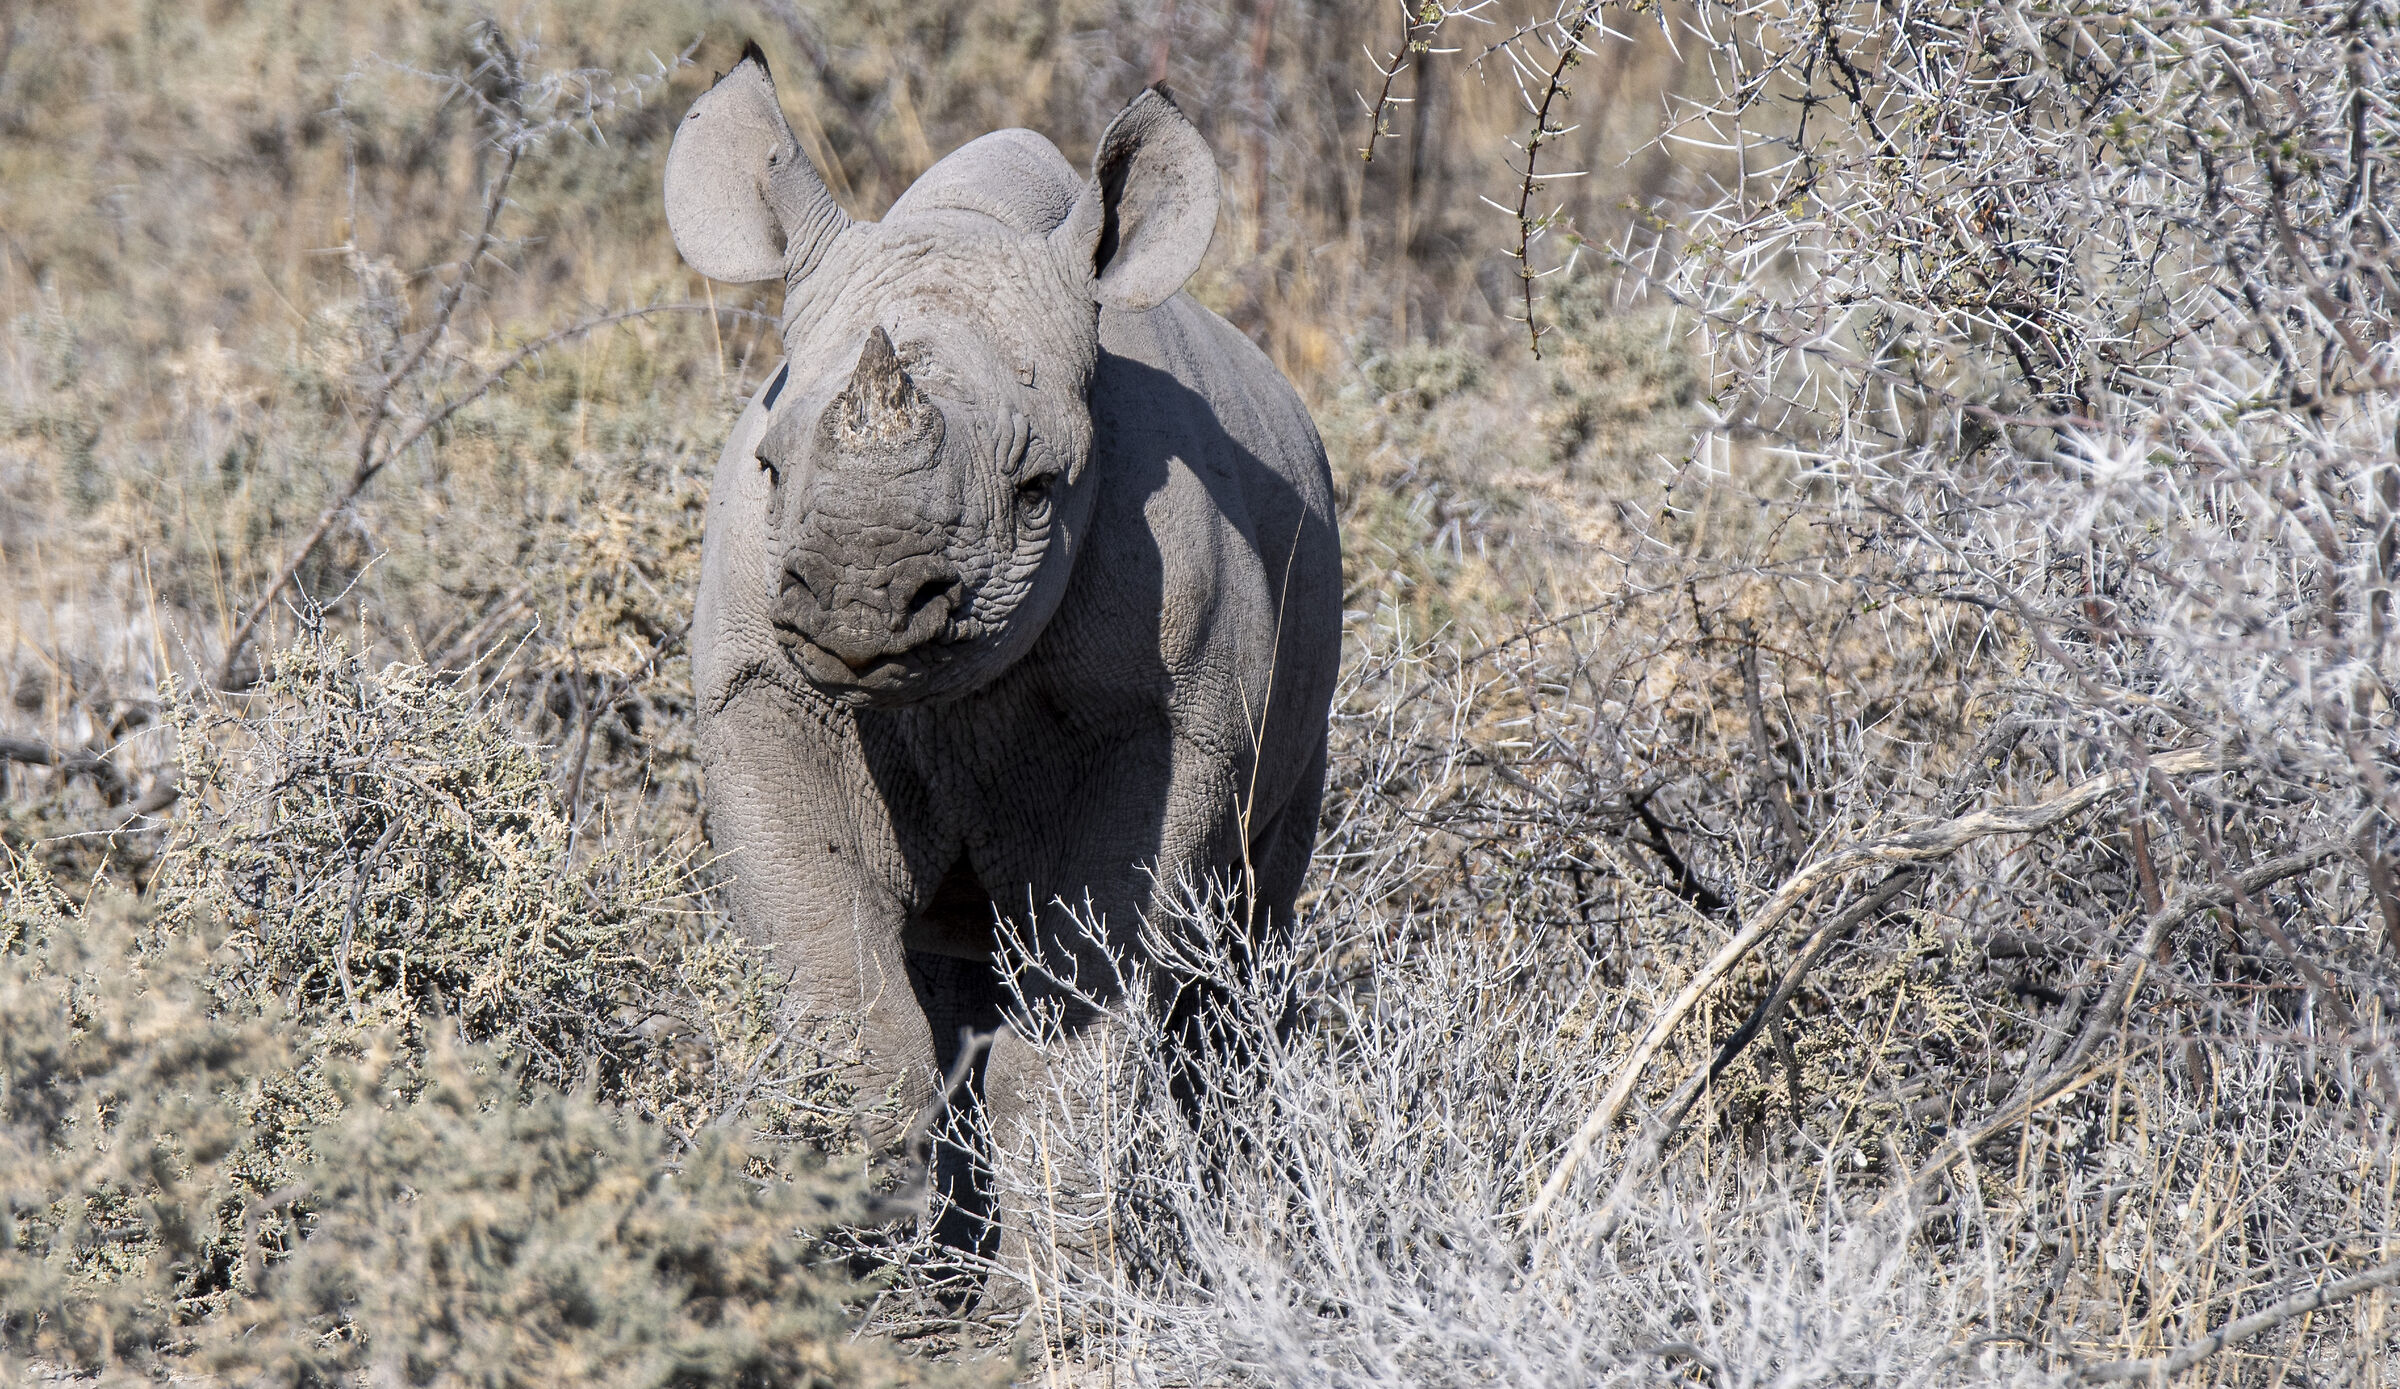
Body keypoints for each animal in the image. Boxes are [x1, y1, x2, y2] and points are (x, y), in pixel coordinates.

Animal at [662, 46, 1340, 1252]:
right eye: (772, 470)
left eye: (1037, 490)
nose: (863, 604)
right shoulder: (762, 693)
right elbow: (846, 1011)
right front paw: (871, 1252)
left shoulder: (1165, 721)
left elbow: (1078, 1032)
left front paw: (1057, 1275)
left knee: (1237, 943)